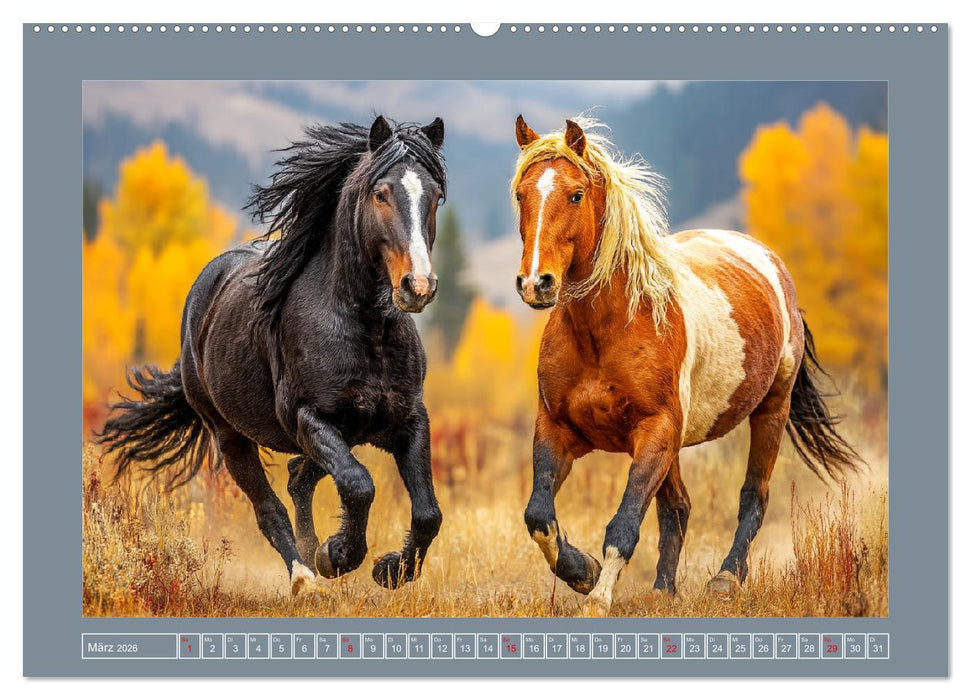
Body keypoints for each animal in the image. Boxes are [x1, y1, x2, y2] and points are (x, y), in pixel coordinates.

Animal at [97, 115, 448, 595]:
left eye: (435, 196)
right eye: (381, 193)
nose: (418, 286)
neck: (364, 329)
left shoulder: (408, 419)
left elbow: (428, 511)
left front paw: (388, 570)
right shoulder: (308, 417)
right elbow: (359, 484)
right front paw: (337, 556)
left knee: (299, 477)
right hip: (228, 434)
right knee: (270, 509)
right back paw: (304, 576)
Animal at [510, 116, 860, 616]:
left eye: (575, 194)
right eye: (522, 194)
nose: (535, 283)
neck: (608, 330)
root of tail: (771, 263)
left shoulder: (655, 431)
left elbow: (624, 524)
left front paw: (598, 597)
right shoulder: (558, 429)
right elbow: (539, 517)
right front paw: (583, 573)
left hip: (769, 410)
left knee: (753, 495)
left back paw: (726, 579)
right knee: (677, 507)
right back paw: (663, 590)